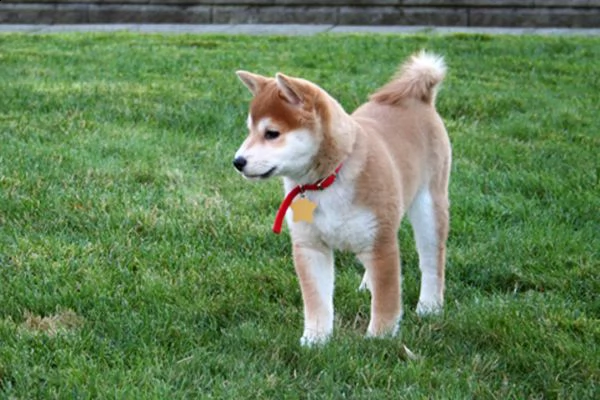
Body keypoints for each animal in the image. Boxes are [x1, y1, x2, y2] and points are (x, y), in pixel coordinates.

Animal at [233, 51, 450, 346]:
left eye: (272, 134)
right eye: (249, 130)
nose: (237, 162)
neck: (326, 182)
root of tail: (418, 99)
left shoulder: (380, 242)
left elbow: (386, 298)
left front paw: (379, 338)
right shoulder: (310, 245)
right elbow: (317, 301)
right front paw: (315, 340)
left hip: (429, 205)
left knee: (431, 259)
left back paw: (430, 306)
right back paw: (368, 284)